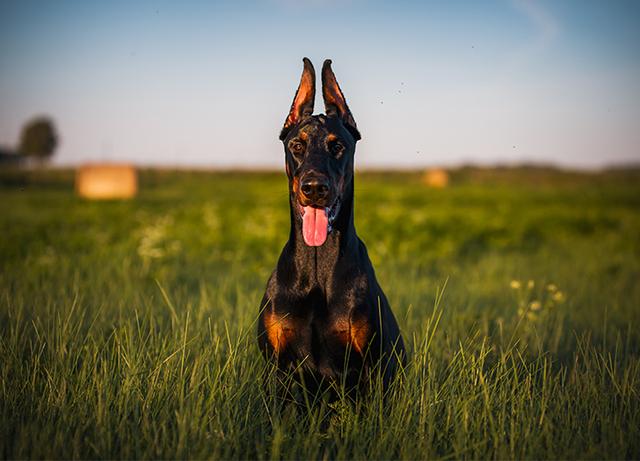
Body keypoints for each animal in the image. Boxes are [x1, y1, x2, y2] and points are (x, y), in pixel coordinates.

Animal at [256, 56, 402, 396]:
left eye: (337, 146)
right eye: (297, 145)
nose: (314, 188)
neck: (316, 265)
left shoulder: (370, 369)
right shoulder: (278, 367)